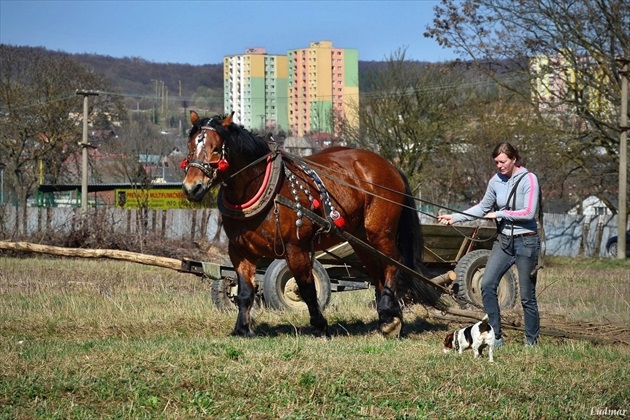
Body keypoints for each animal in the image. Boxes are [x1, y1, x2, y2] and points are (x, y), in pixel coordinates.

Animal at [181, 111, 440, 338]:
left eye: (217, 149)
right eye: (191, 146)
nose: (192, 187)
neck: (257, 187)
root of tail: (389, 166)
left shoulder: (296, 248)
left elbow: (306, 289)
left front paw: (320, 326)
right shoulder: (239, 251)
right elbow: (245, 291)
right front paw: (242, 329)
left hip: (380, 232)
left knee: (393, 264)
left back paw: (388, 315)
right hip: (361, 240)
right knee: (378, 272)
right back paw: (390, 317)